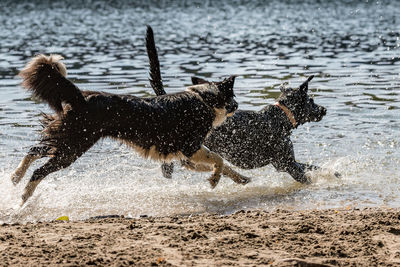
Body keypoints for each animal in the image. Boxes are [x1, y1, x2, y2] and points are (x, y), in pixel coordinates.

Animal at [11, 54, 250, 205]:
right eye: (234, 97)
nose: (239, 106)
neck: (204, 100)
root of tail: (82, 98)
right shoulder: (190, 147)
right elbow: (219, 160)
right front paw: (214, 181)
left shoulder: (185, 156)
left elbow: (224, 165)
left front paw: (242, 179)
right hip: (73, 147)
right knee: (39, 171)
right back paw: (22, 199)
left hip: (67, 139)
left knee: (34, 150)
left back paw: (15, 176)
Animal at [145, 25, 340, 184]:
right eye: (311, 100)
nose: (324, 109)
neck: (280, 118)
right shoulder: (286, 164)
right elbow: (307, 175)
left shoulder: (289, 162)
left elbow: (315, 166)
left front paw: (335, 173)